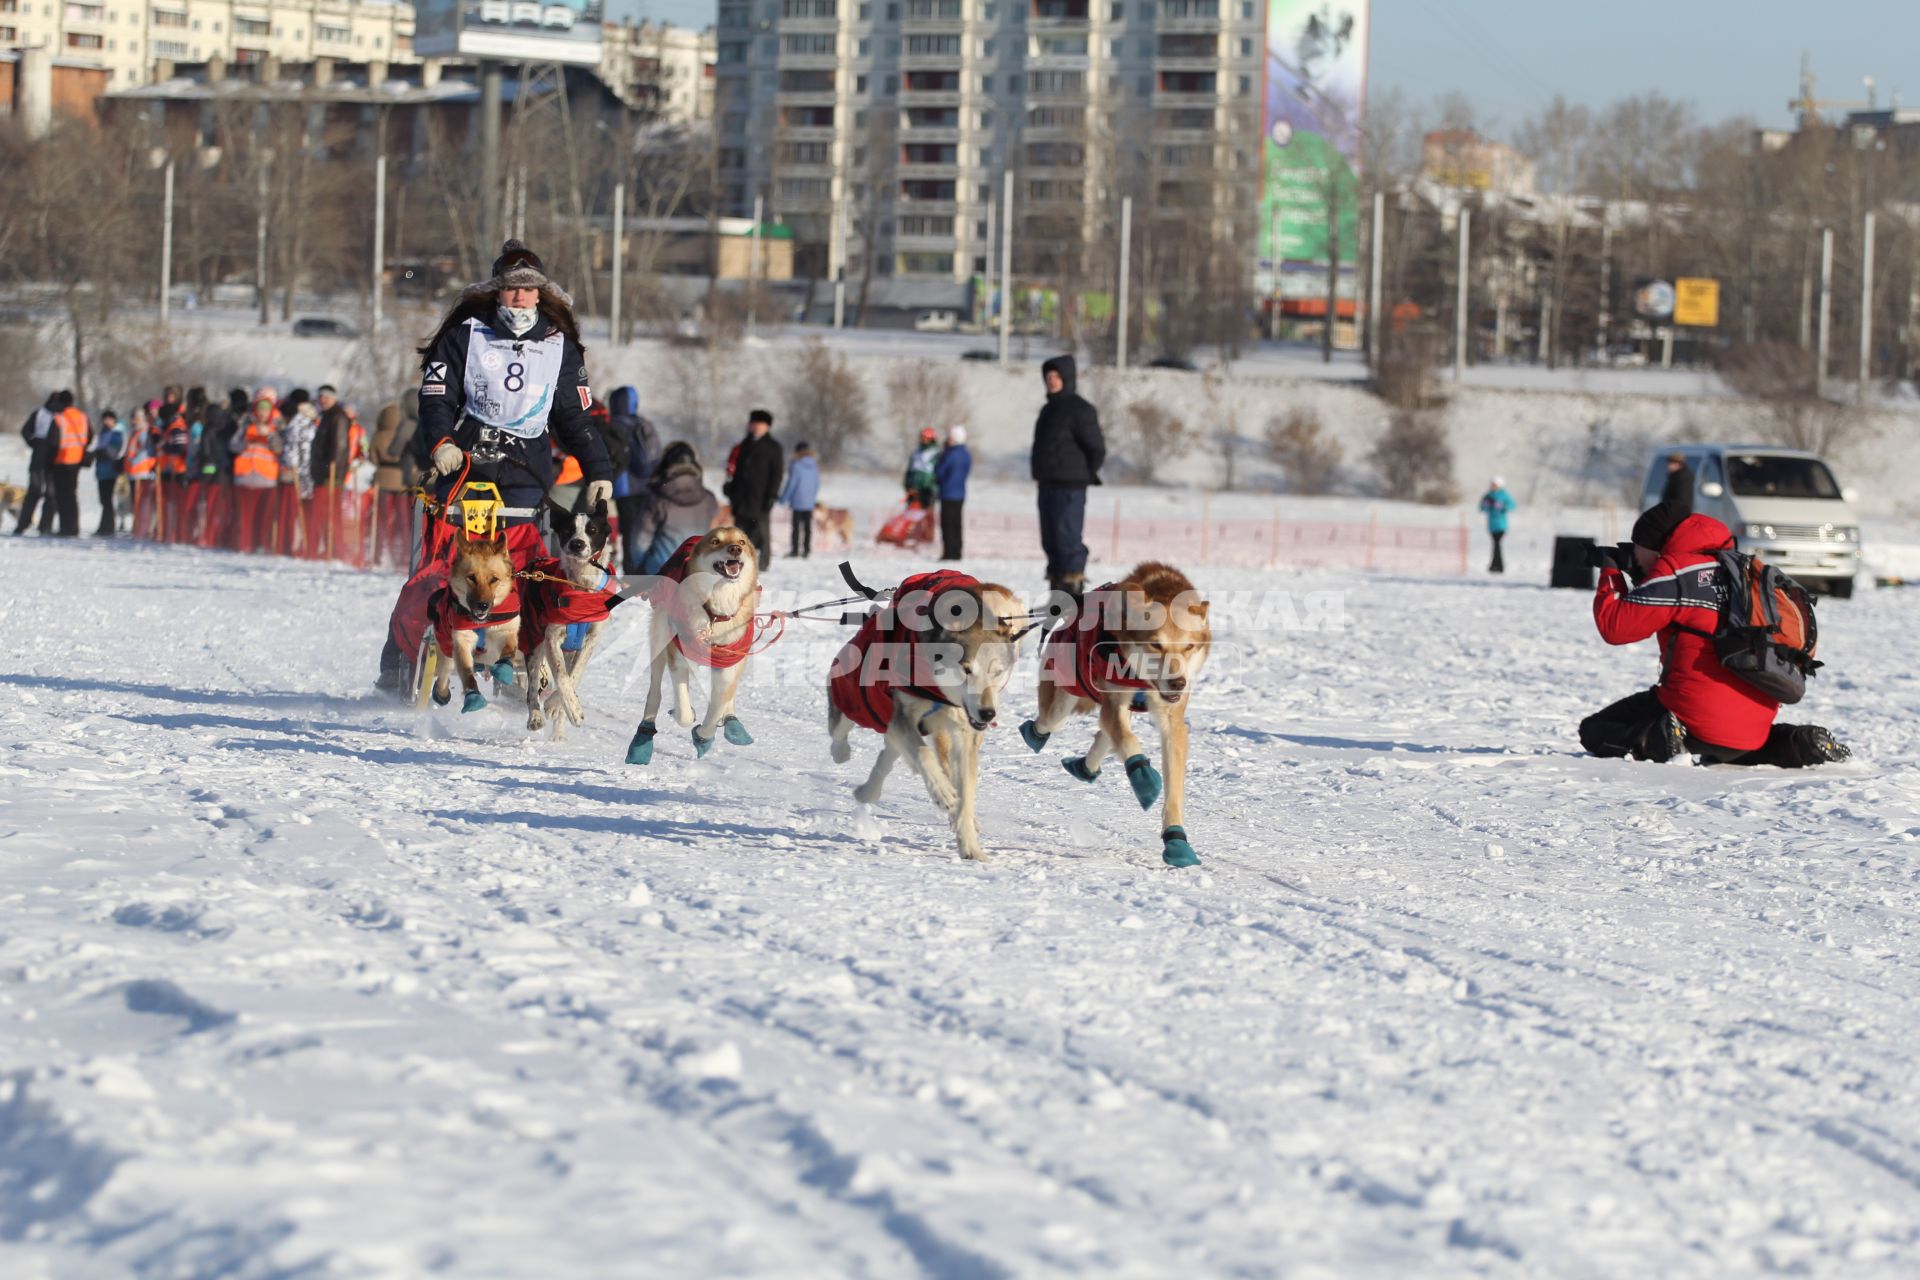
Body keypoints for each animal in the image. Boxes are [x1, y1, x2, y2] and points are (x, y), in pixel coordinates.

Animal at [622, 529, 756, 767]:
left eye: (741, 541)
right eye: (716, 541)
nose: (735, 549)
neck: (714, 613)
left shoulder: (728, 662)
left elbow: (718, 704)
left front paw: (703, 737)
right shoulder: (677, 658)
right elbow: (684, 713)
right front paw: (690, 718)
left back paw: (732, 721)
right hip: (659, 637)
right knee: (654, 693)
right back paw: (643, 737)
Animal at [829, 571, 1029, 859]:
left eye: (997, 672)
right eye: (966, 669)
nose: (988, 712)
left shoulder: (965, 735)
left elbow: (965, 794)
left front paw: (970, 845)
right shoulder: (901, 714)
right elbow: (923, 754)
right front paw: (943, 793)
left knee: (890, 754)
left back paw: (869, 791)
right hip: (860, 697)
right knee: (844, 726)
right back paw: (842, 753)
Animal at [1021, 564, 1213, 871]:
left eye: (1189, 647)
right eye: (1155, 645)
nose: (1177, 683)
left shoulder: (1172, 723)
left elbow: (1173, 790)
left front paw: (1176, 841)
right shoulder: (1113, 703)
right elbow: (1127, 741)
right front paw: (1145, 780)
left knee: (1104, 736)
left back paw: (1084, 766)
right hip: (1064, 697)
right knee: (1050, 722)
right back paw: (1034, 734)